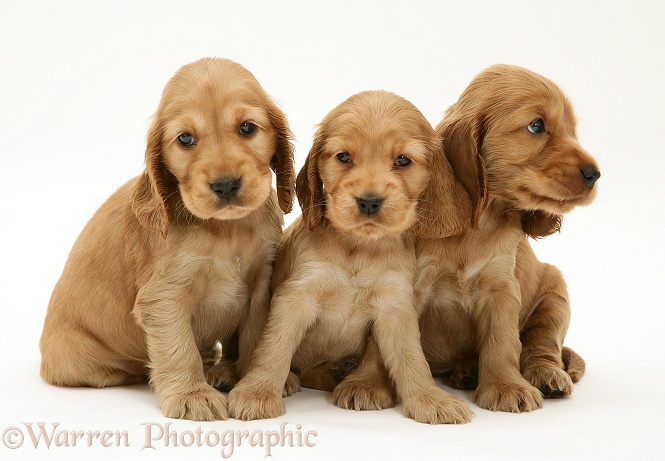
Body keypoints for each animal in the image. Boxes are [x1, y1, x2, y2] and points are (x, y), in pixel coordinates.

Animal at [38, 57, 294, 420]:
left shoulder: (261, 282)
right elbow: (178, 348)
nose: (226, 185)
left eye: (247, 128)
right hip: (77, 360)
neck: (225, 230)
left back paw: (221, 369)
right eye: (185, 139)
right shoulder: (164, 296)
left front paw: (257, 383)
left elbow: (256, 336)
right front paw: (192, 395)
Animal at [228, 88, 472, 422]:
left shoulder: (394, 305)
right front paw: (257, 392)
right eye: (343, 157)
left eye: (403, 160)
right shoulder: (297, 296)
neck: (359, 249)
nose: (369, 202)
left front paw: (430, 399)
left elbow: (411, 358)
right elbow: (273, 347)